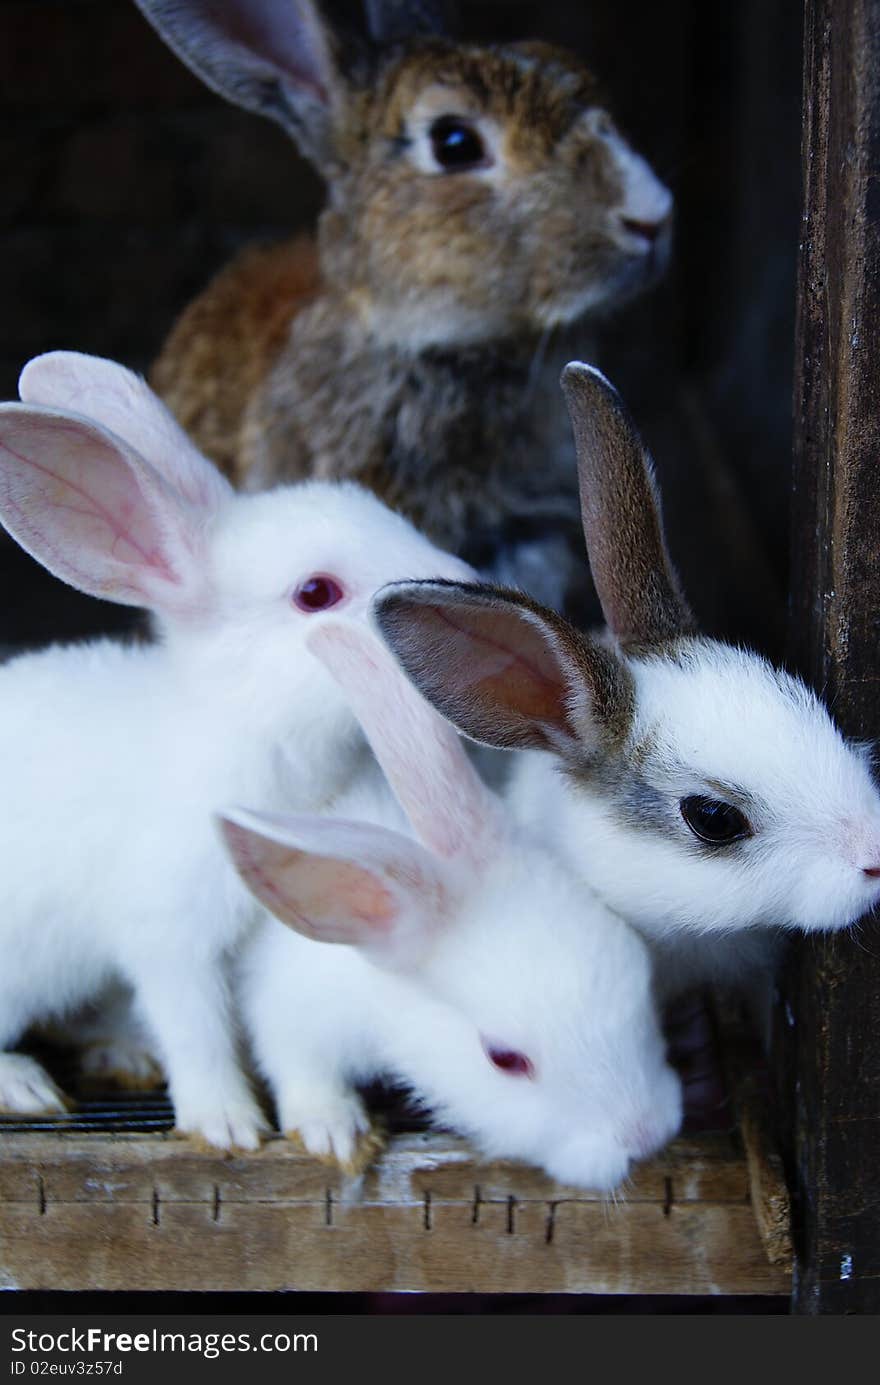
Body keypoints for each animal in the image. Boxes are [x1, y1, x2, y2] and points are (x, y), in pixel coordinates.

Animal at [0, 349, 471, 1146]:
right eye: (316, 593)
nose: (466, 584)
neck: (238, 730)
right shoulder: (168, 931)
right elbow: (197, 1029)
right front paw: (228, 1124)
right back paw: (27, 1087)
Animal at [218, 617, 681, 1191]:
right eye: (504, 1059)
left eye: (641, 978)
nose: (644, 1136)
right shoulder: (291, 1008)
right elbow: (296, 1063)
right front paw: (334, 1131)